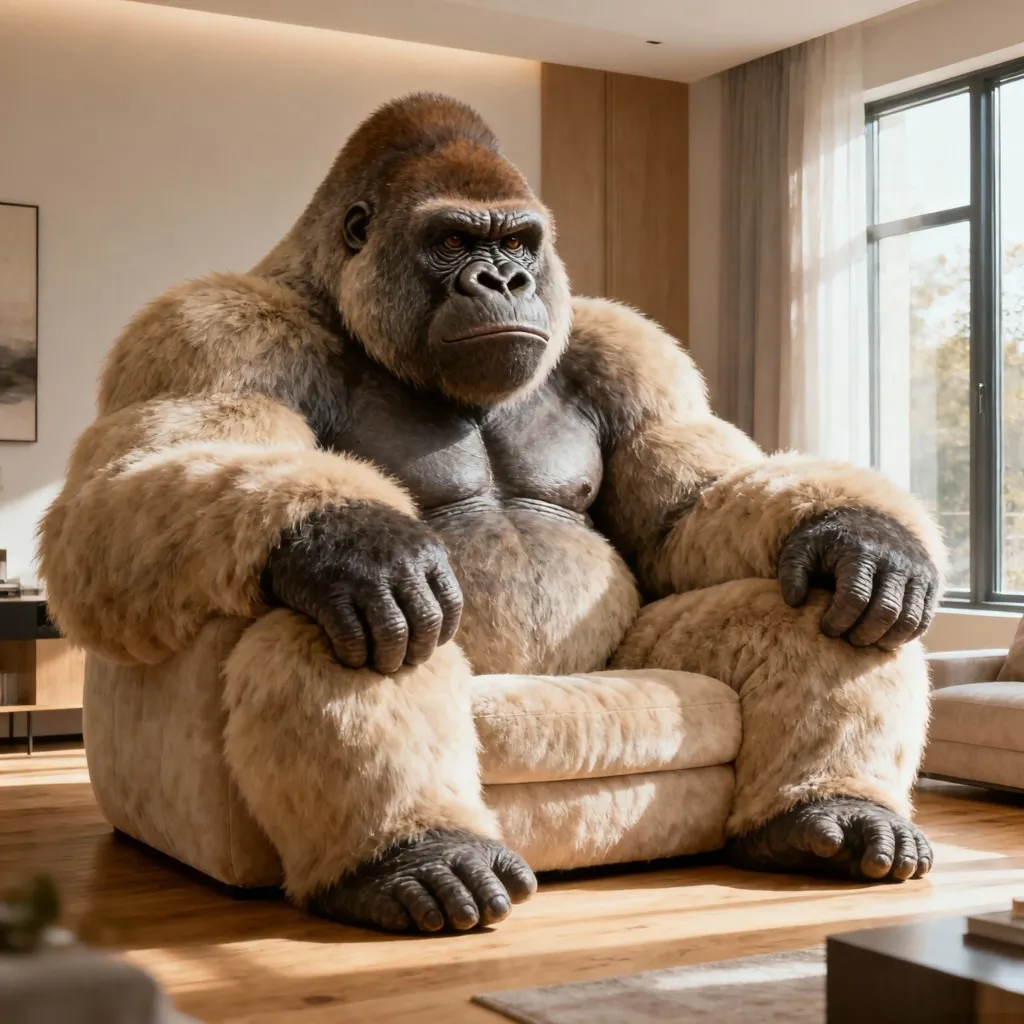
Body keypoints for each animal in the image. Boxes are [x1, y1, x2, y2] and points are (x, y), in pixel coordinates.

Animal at [39, 93, 944, 934]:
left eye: (516, 243)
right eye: (450, 243)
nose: (504, 282)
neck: (343, 301)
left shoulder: (630, 353)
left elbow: (686, 514)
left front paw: (860, 532)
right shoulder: (211, 330)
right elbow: (118, 495)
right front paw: (353, 541)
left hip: (623, 668)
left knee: (810, 610)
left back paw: (827, 810)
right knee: (337, 619)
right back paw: (417, 856)